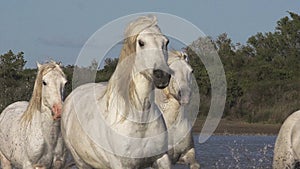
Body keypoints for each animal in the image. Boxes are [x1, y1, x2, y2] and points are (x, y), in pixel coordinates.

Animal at [60, 15, 172, 168]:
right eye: (141, 43)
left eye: (165, 42)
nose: (162, 75)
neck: (140, 118)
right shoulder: (120, 164)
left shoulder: (161, 158)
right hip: (81, 162)